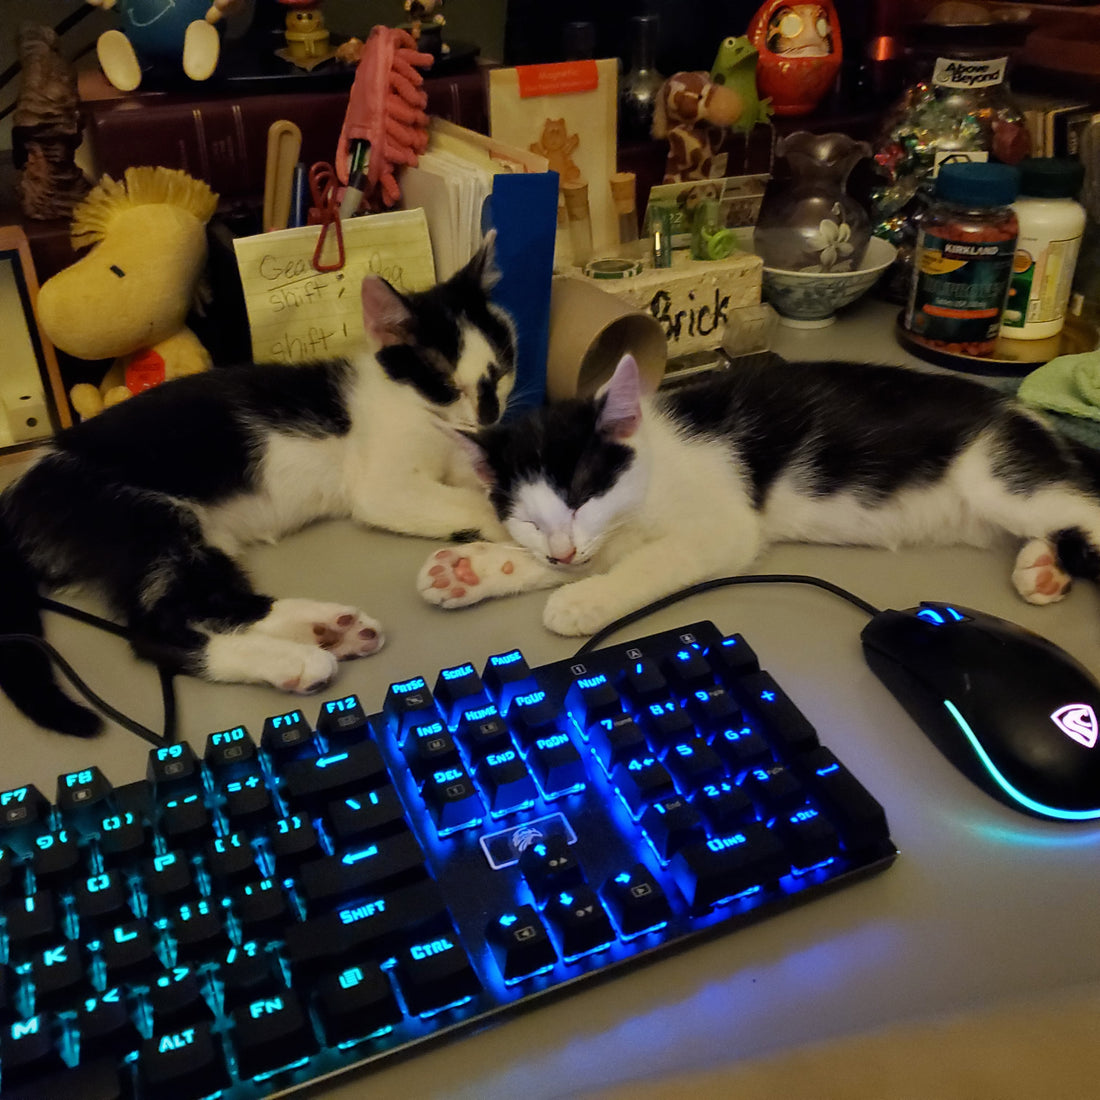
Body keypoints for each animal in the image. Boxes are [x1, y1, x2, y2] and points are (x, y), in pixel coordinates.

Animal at [0, 239, 514, 739]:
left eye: (500, 371)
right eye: (446, 383)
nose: (489, 415)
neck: (414, 405)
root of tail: (21, 489)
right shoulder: (384, 485)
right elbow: (468, 501)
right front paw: (510, 524)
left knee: (208, 601)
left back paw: (327, 631)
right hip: (145, 518)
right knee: (156, 631)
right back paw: (297, 656)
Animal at [418, 356, 1100, 638]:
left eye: (583, 495)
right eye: (528, 520)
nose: (559, 551)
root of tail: (1023, 413)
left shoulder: (723, 526)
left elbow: (650, 562)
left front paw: (584, 601)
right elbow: (591, 557)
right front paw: (471, 570)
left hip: (997, 476)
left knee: (1079, 502)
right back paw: (1044, 569)